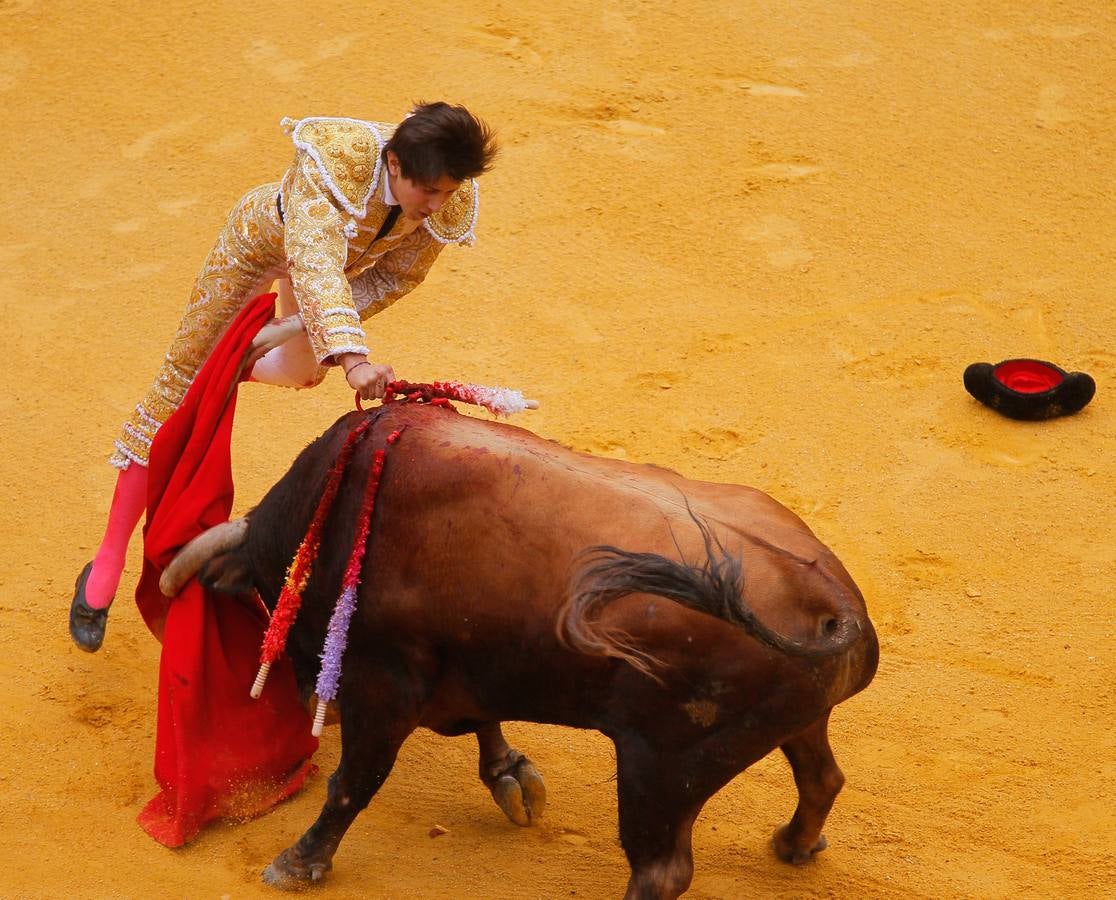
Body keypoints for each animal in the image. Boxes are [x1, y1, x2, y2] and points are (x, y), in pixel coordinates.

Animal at [165, 404, 879, 897]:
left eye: (267, 597)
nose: (317, 699)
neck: (337, 513)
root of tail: (832, 600)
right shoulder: (471, 667)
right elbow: (485, 723)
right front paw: (511, 777)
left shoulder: (385, 686)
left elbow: (353, 782)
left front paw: (299, 861)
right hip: (797, 723)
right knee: (821, 777)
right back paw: (793, 845)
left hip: (661, 770)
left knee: (661, 871)